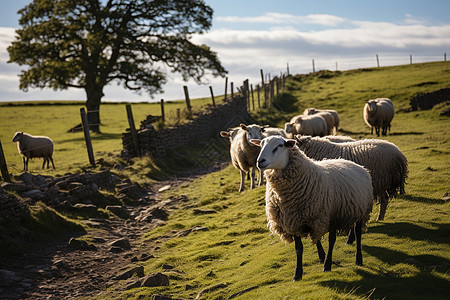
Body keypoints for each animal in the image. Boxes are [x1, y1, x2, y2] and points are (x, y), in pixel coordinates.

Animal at [251, 136, 374, 282]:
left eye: (280, 145)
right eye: (261, 144)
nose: (260, 161)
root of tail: (359, 166)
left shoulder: (323, 216)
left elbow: (327, 240)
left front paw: (324, 263)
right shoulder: (293, 220)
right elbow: (299, 248)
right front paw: (298, 273)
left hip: (355, 211)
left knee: (353, 235)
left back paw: (352, 260)